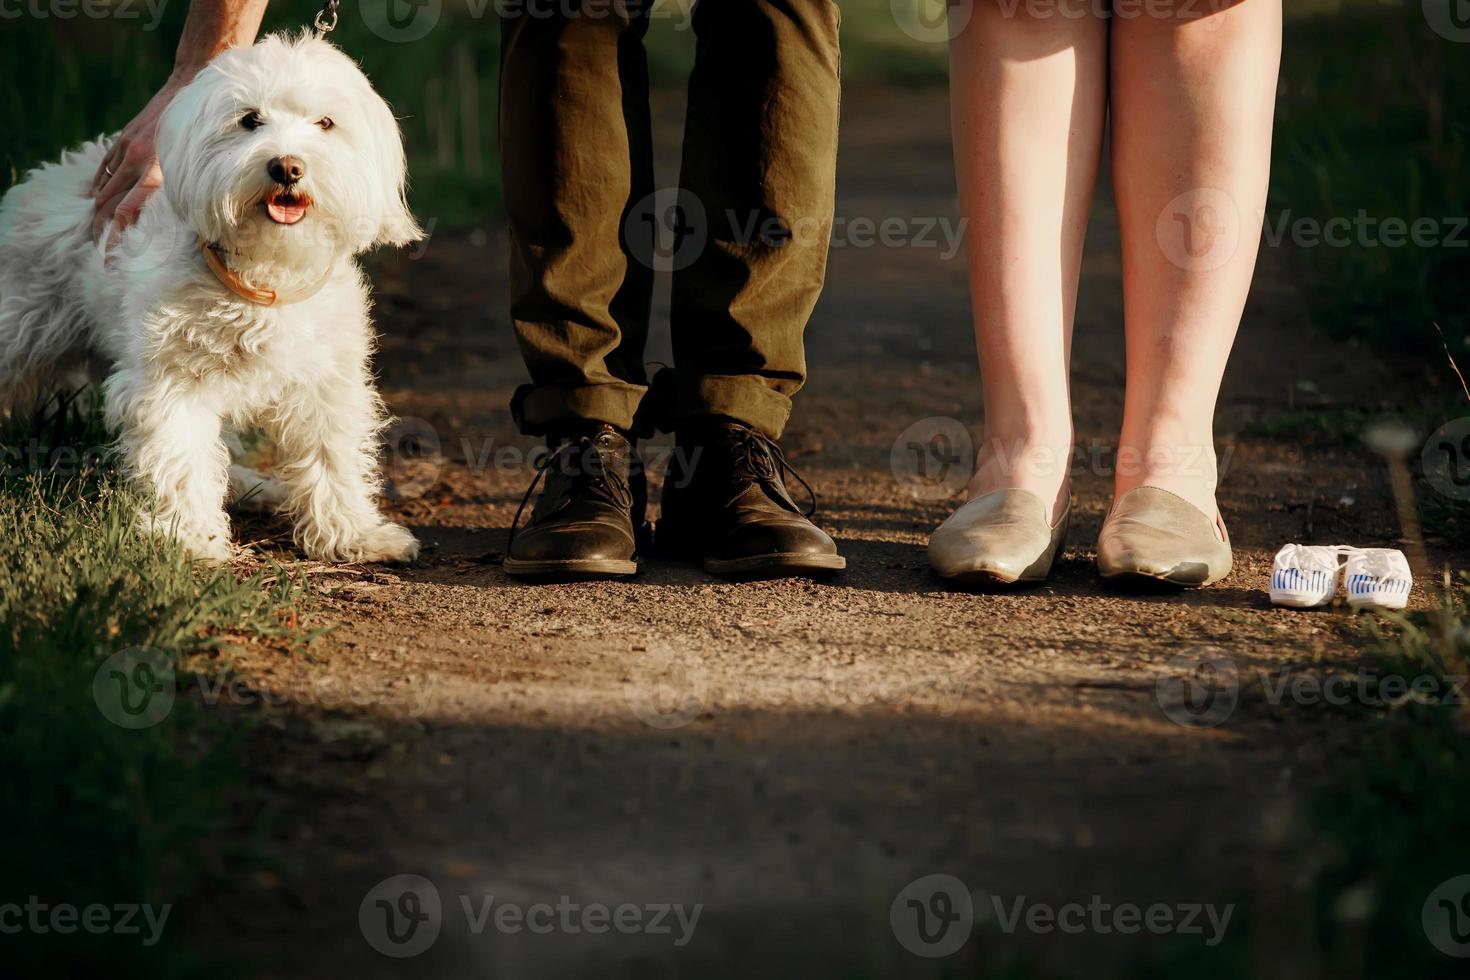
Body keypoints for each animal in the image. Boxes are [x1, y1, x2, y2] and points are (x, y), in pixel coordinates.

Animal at [1, 34, 426, 567]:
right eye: (249, 120)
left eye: (326, 123)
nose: (287, 166)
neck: (265, 272)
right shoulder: (171, 380)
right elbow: (179, 458)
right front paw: (190, 538)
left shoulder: (324, 384)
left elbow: (333, 456)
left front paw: (353, 532)